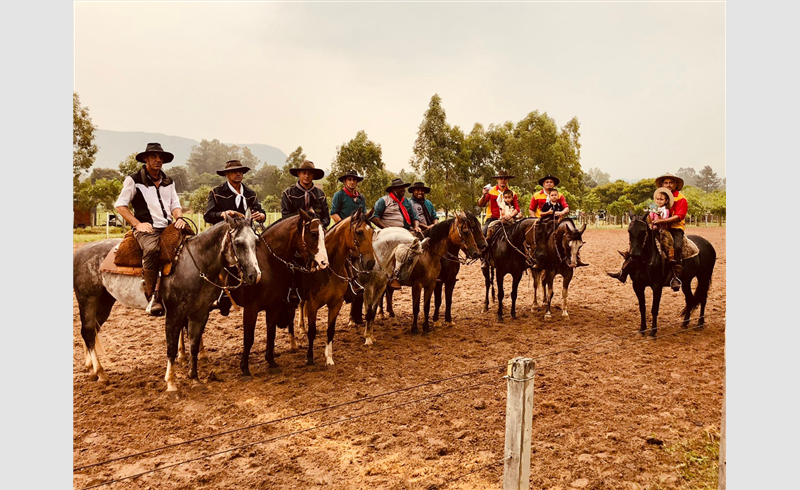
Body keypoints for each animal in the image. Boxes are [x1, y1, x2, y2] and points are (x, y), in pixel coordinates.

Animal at [72, 212, 260, 392]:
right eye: (238, 243)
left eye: (256, 241)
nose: (254, 275)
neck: (196, 263)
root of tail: (79, 253)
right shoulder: (174, 313)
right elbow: (171, 347)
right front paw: (171, 383)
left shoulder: (200, 313)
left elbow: (193, 345)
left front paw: (195, 379)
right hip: (88, 300)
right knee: (87, 332)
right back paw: (101, 373)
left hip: (104, 302)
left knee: (92, 331)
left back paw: (91, 369)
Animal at [233, 209, 330, 378]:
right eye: (313, 233)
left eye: (324, 232)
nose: (324, 262)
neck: (267, 263)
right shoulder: (251, 309)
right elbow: (249, 338)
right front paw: (245, 368)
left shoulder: (274, 306)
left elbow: (271, 333)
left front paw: (271, 362)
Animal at [294, 209, 378, 366]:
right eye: (359, 232)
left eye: (372, 232)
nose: (370, 263)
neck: (328, 269)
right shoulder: (313, 305)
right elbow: (312, 331)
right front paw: (310, 358)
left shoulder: (335, 304)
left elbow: (330, 330)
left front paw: (329, 358)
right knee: (301, 307)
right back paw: (301, 328)